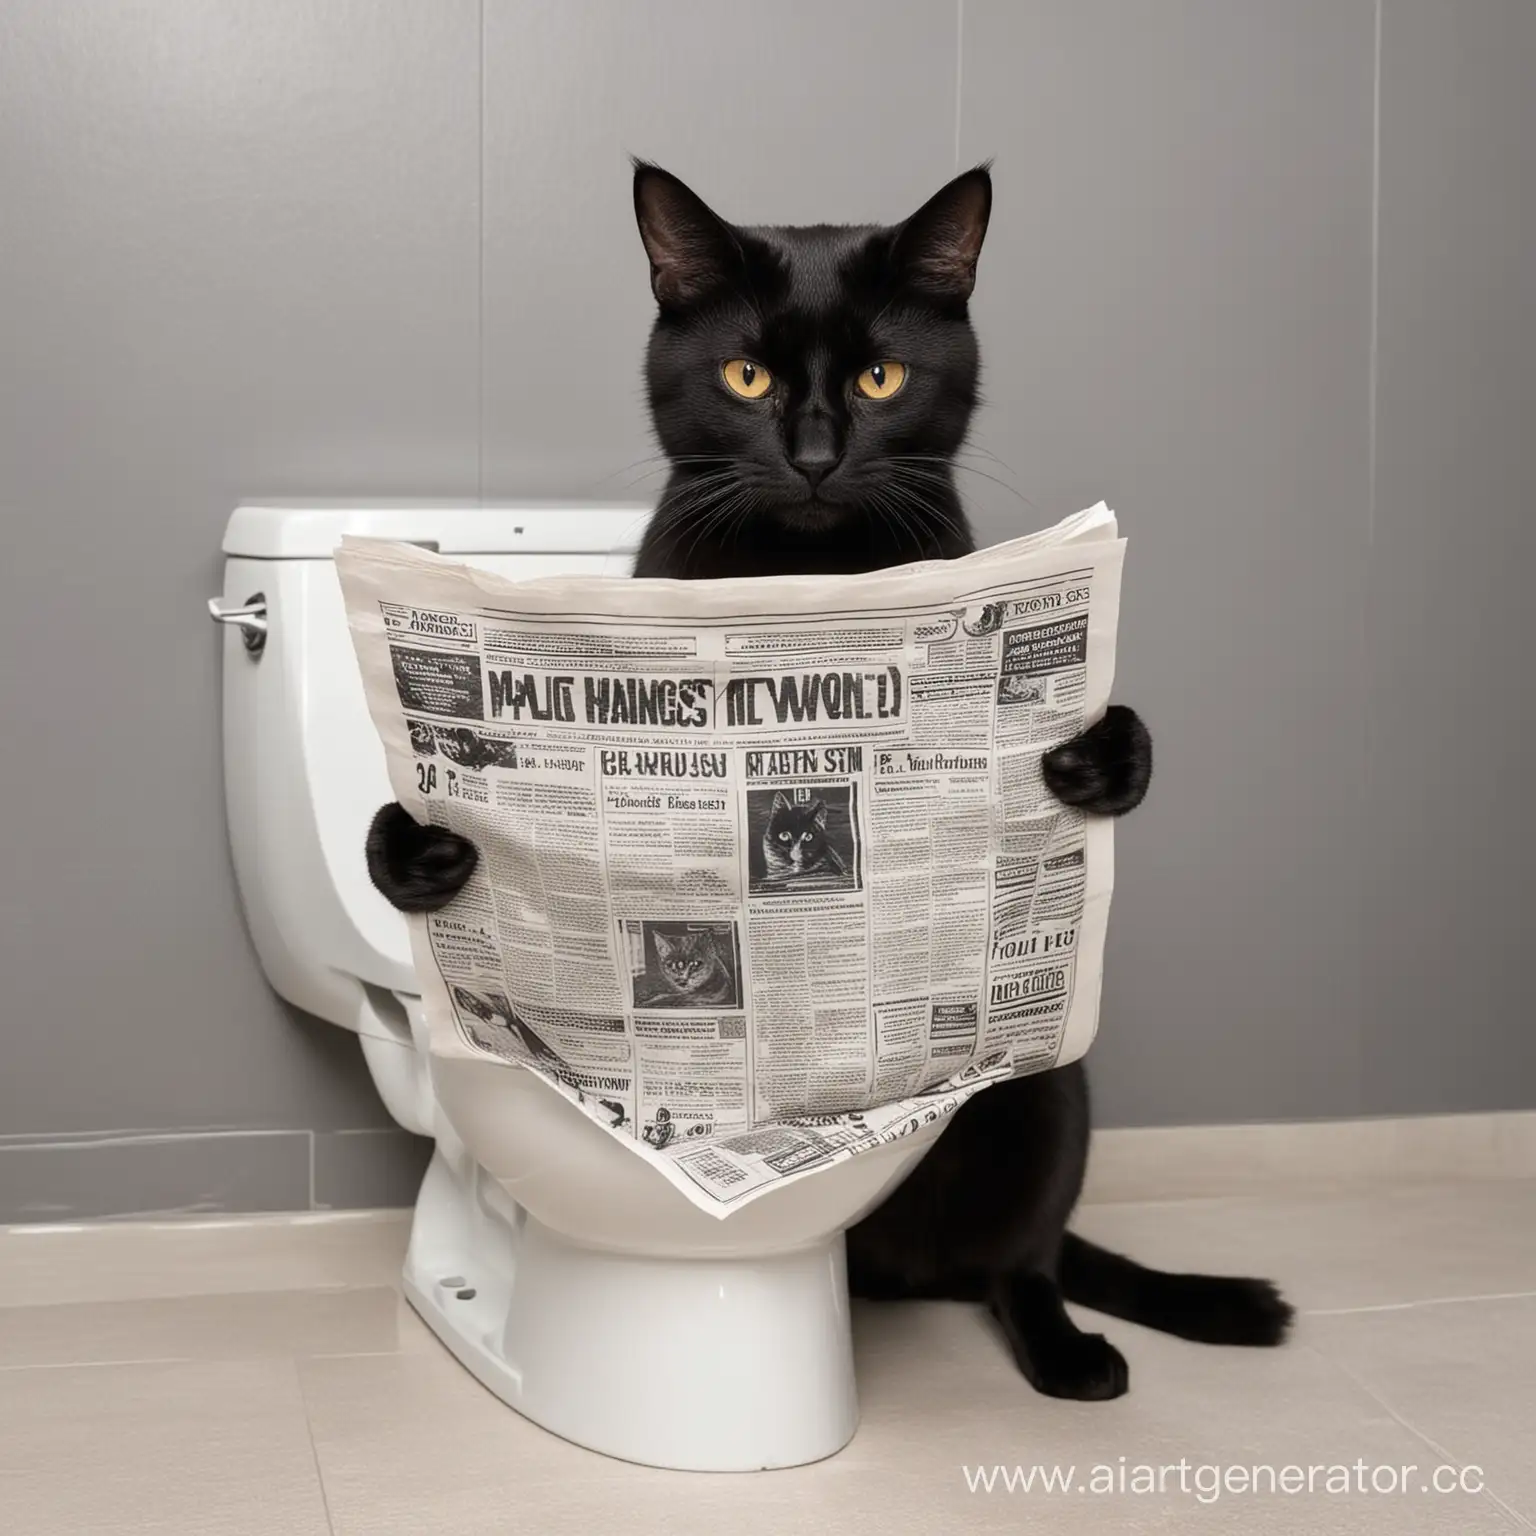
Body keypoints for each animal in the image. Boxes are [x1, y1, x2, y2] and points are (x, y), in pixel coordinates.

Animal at [365, 162, 1290, 1400]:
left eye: (880, 377)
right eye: (746, 376)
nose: (810, 452)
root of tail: (900, 1266)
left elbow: (1122, 752)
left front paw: (1100, 757)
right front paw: (422, 852)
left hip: (1047, 1093)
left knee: (1024, 1261)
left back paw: (1068, 1356)